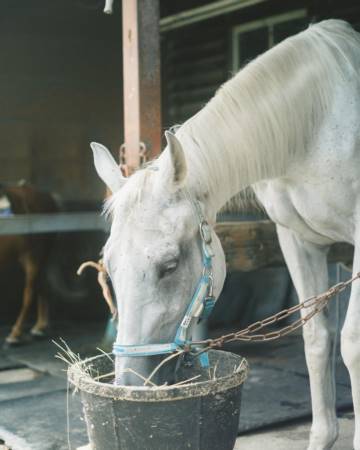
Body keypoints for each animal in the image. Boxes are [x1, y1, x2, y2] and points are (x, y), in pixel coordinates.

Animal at [0, 183, 57, 344]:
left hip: (34, 256)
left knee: (29, 293)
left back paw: (15, 333)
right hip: (37, 257)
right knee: (42, 285)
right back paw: (40, 327)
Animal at [92, 20, 360, 450]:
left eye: (170, 265)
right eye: (109, 267)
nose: (132, 381)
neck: (317, 120)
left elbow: (352, 344)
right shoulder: (298, 240)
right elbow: (317, 339)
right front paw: (322, 437)